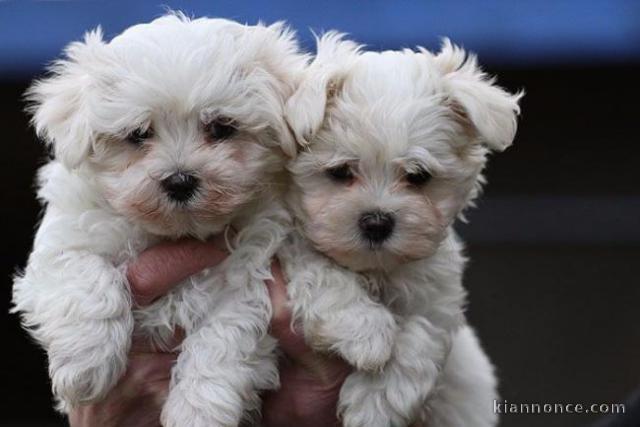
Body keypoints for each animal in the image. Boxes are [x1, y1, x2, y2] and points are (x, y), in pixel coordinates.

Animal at [12, 13, 306, 427]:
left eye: (221, 127)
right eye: (138, 134)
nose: (180, 181)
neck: (176, 234)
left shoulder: (244, 283)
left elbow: (222, 343)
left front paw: (198, 412)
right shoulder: (63, 245)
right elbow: (85, 276)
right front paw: (87, 363)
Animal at [278, 34, 524, 427]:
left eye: (418, 176)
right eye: (341, 172)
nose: (377, 222)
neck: (378, 270)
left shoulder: (439, 297)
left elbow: (422, 333)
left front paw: (374, 403)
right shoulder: (293, 243)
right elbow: (322, 271)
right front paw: (367, 334)